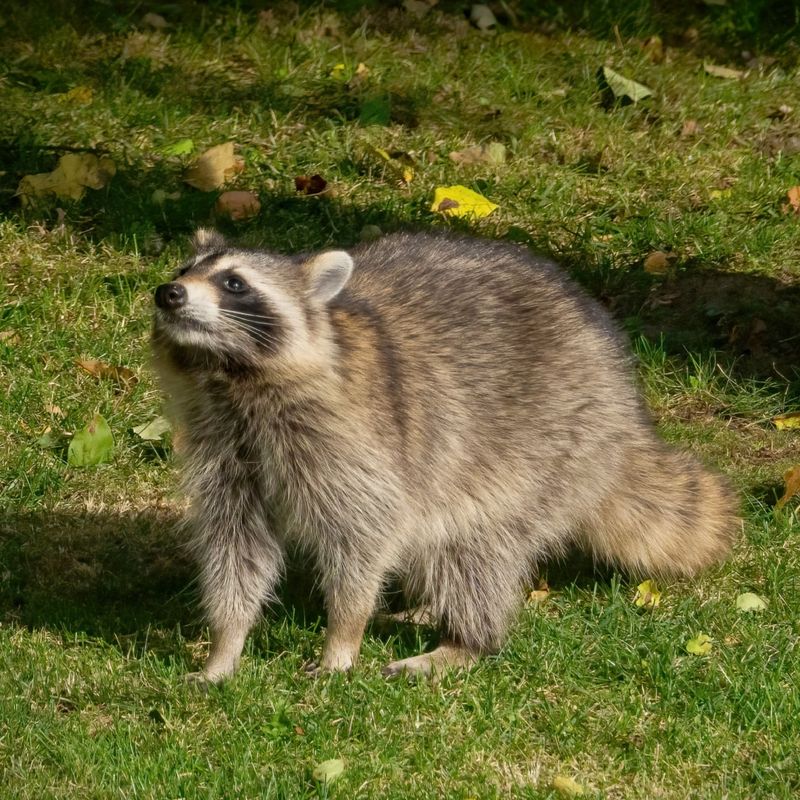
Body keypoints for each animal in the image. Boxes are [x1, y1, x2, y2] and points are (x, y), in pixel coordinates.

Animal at [151, 229, 738, 682]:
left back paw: (466, 640)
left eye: (234, 283)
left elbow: (364, 532)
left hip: (548, 446)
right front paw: (226, 644)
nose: (168, 292)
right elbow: (236, 542)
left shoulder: (352, 441)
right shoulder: (223, 447)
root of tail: (626, 413)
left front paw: (343, 633)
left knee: (474, 547)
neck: (227, 377)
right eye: (184, 268)